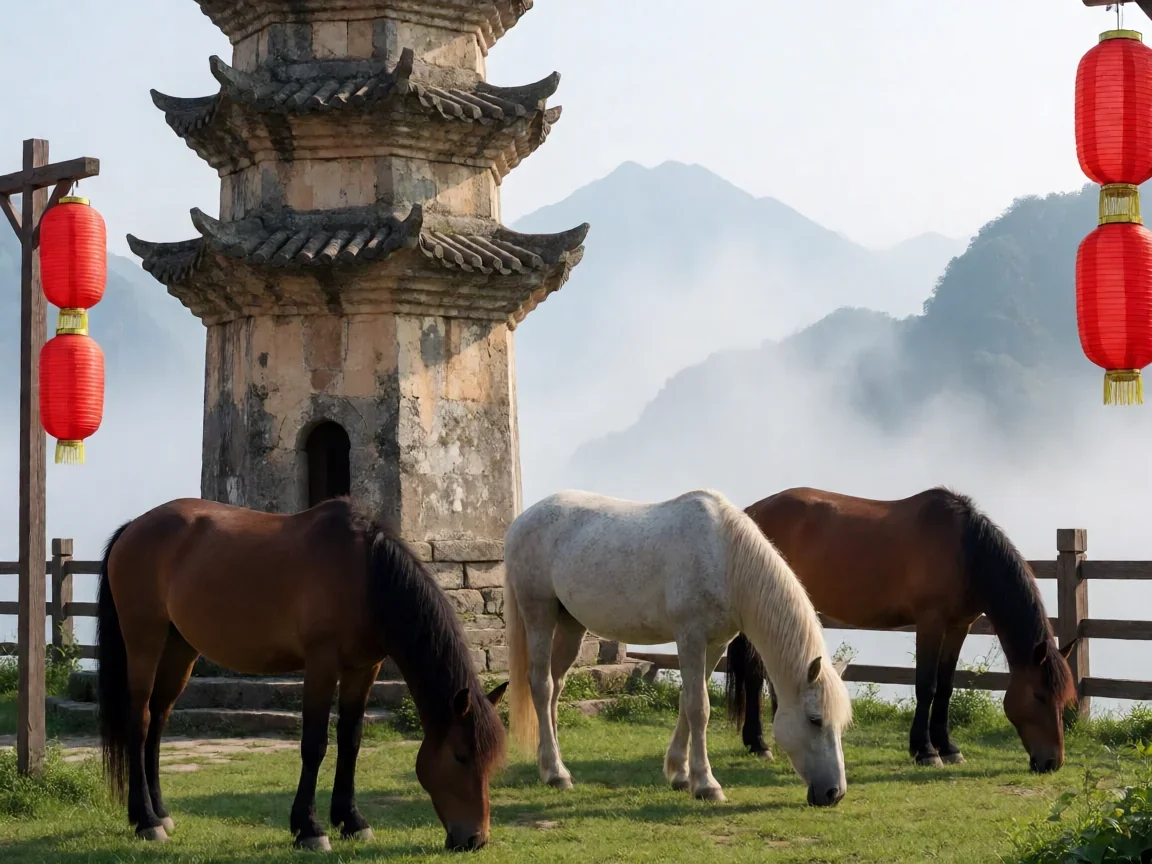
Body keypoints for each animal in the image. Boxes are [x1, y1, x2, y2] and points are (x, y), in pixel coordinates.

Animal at [95, 496, 507, 852]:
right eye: (460, 757)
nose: (475, 839)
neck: (365, 575)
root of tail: (134, 527)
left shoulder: (363, 668)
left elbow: (351, 739)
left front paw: (351, 821)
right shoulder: (321, 663)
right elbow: (315, 744)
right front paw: (309, 829)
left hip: (179, 648)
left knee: (159, 720)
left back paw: (161, 813)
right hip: (144, 640)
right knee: (140, 721)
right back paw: (146, 820)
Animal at [503, 488, 852, 806]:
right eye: (815, 720)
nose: (833, 793)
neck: (725, 558)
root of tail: (521, 521)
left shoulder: (714, 644)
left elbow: (687, 701)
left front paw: (681, 775)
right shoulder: (690, 637)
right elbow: (699, 708)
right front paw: (707, 785)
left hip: (571, 624)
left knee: (557, 685)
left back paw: (551, 763)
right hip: (539, 613)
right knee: (542, 685)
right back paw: (555, 773)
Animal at [723, 486, 1076, 773]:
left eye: (1062, 699)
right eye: (1040, 695)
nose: (1052, 762)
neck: (965, 552)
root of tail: (752, 512)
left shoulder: (959, 626)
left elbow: (946, 686)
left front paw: (948, 747)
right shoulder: (930, 621)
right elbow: (926, 685)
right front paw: (926, 751)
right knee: (753, 675)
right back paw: (758, 743)